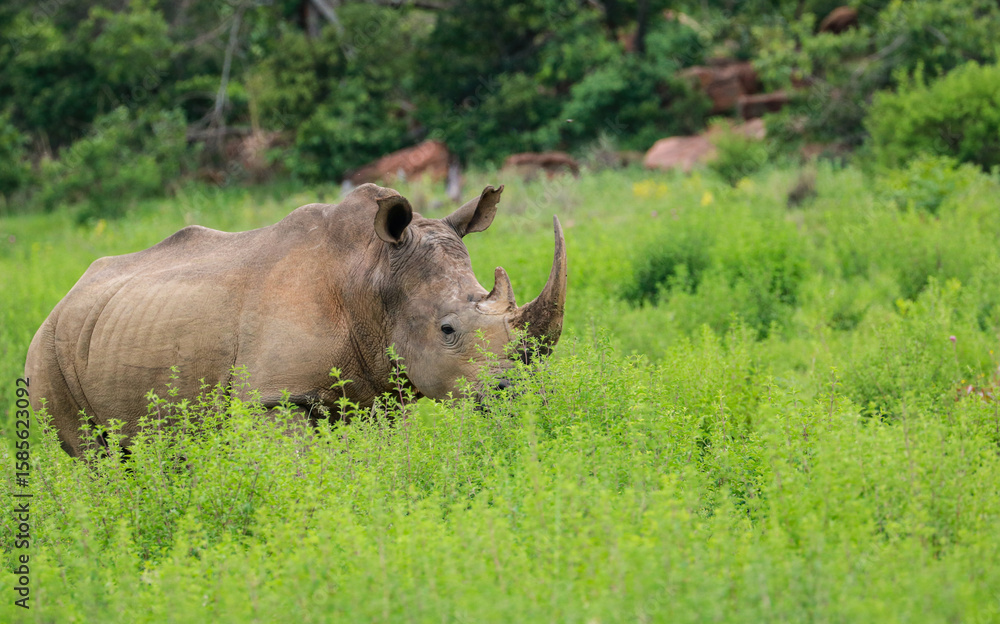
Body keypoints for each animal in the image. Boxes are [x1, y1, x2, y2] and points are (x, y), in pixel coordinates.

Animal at [25, 183, 567, 457]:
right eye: (448, 330)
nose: (517, 394)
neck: (370, 273)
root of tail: (62, 298)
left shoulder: (379, 391)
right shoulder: (274, 396)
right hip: (47, 349)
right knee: (91, 458)